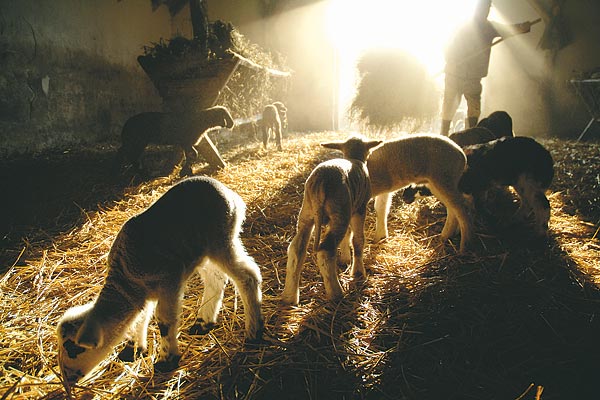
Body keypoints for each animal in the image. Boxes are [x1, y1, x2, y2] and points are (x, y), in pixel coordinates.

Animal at [56, 177, 262, 392]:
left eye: (73, 349)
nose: (66, 380)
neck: (126, 280)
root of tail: (230, 194)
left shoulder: (168, 281)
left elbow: (164, 321)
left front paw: (166, 360)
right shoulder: (142, 293)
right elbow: (140, 317)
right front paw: (134, 349)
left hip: (221, 238)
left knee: (248, 276)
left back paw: (254, 333)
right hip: (202, 252)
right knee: (216, 278)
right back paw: (203, 323)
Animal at [280, 134, 380, 304]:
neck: (355, 157)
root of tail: (321, 180)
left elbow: (348, 235)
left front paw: (345, 259)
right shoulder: (359, 208)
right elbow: (358, 239)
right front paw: (358, 272)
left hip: (307, 213)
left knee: (296, 249)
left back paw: (289, 297)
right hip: (339, 212)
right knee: (326, 250)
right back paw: (336, 294)